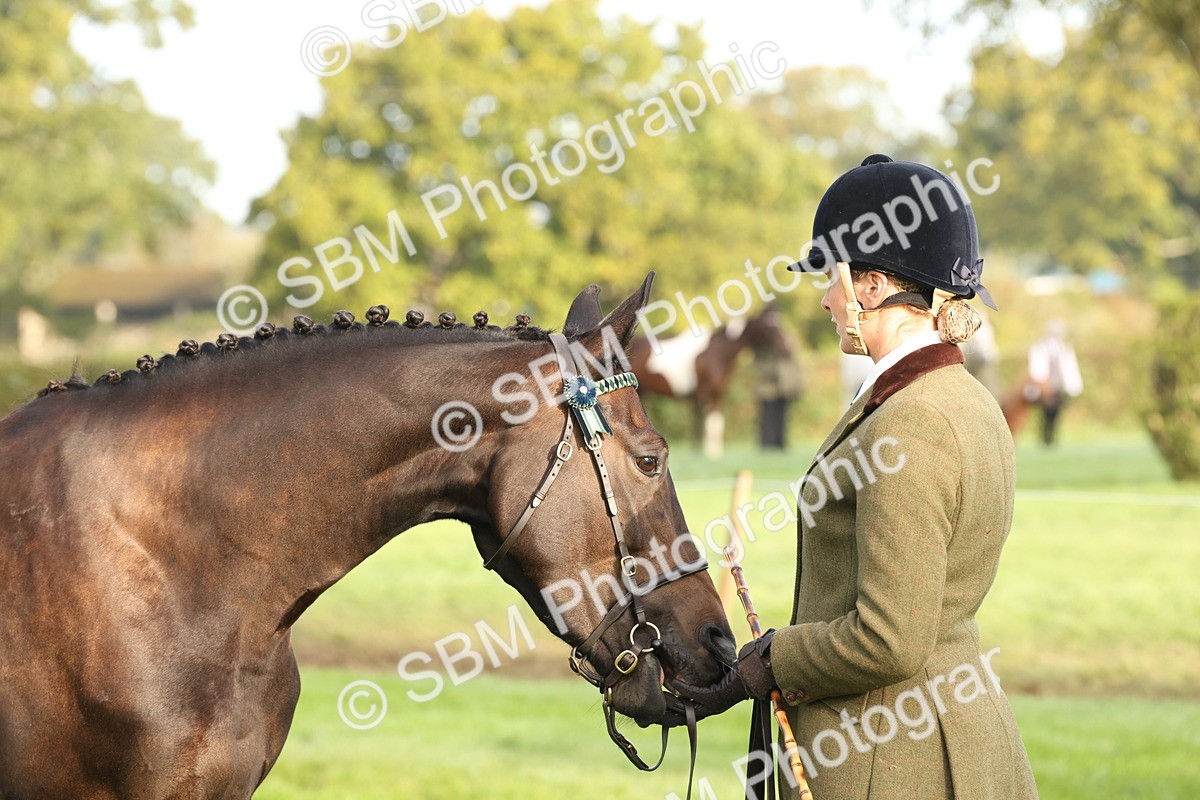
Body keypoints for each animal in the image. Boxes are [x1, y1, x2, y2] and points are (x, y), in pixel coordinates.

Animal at [626, 308, 794, 458]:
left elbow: (715, 422)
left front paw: (713, 453)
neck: (717, 352)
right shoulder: (701, 394)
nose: (787, 348)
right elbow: (700, 422)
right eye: (770, 328)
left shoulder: (717, 394)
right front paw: (699, 452)